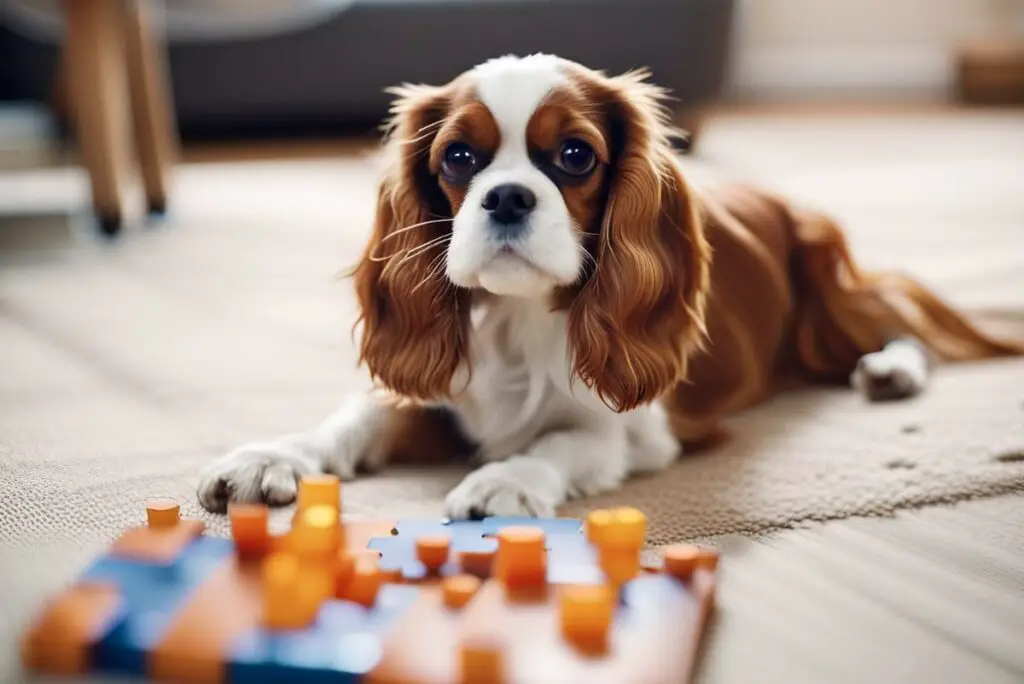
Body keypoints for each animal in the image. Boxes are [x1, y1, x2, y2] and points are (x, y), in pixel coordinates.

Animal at [195, 54, 1019, 518]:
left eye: (574, 155)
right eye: (458, 157)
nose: (507, 197)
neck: (519, 321)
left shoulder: (639, 431)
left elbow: (565, 441)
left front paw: (505, 478)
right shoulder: (439, 387)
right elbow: (356, 416)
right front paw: (269, 457)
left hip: (831, 293)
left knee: (903, 325)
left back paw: (890, 370)